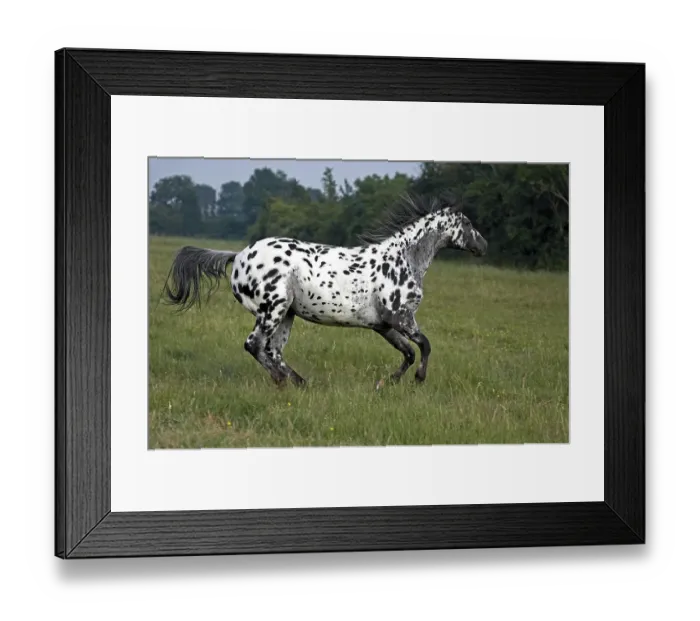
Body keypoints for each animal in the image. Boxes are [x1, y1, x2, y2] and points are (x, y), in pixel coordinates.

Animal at [162, 194, 488, 387]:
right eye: (468, 223)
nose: (483, 246)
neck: (403, 259)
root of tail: (239, 255)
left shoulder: (383, 325)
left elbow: (408, 352)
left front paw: (388, 382)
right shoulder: (401, 318)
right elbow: (425, 345)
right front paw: (419, 379)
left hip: (286, 313)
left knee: (273, 350)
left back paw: (299, 383)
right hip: (273, 308)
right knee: (255, 345)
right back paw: (286, 382)